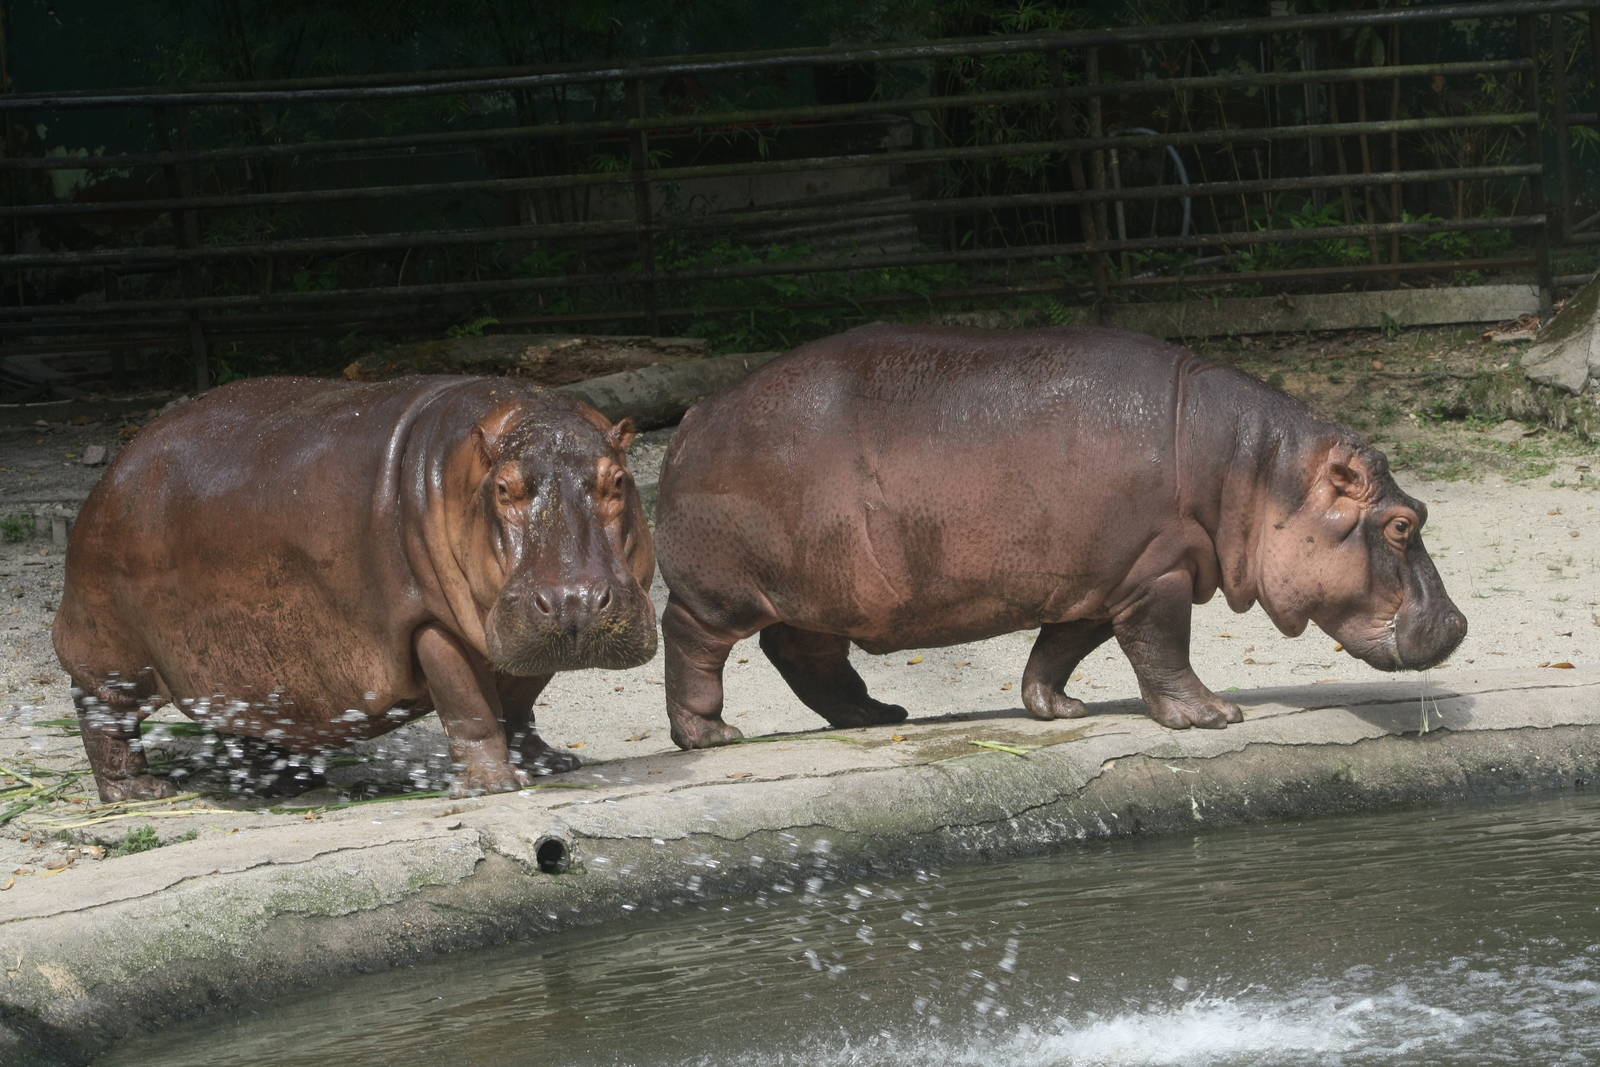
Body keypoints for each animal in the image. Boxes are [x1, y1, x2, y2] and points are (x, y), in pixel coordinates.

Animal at [53, 376, 657, 801]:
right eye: (505, 489)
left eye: (618, 480)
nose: (575, 601)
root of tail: (117, 465)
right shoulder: (431, 623)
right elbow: (470, 706)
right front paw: (494, 785)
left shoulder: (523, 632)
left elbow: (521, 700)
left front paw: (551, 764)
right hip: (112, 654)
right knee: (104, 716)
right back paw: (140, 791)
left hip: (237, 661)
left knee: (242, 718)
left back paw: (284, 784)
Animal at [655, 324, 1466, 748]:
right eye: (1403, 524)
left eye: (1422, 507)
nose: (1458, 624)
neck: (1258, 469)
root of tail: (694, 415)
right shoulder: (1158, 573)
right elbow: (1164, 647)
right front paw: (1212, 717)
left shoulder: (1104, 579)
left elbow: (1061, 648)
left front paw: (1058, 711)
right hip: (721, 595)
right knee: (691, 641)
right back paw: (710, 736)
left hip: (824, 593)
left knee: (805, 656)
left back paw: (880, 715)